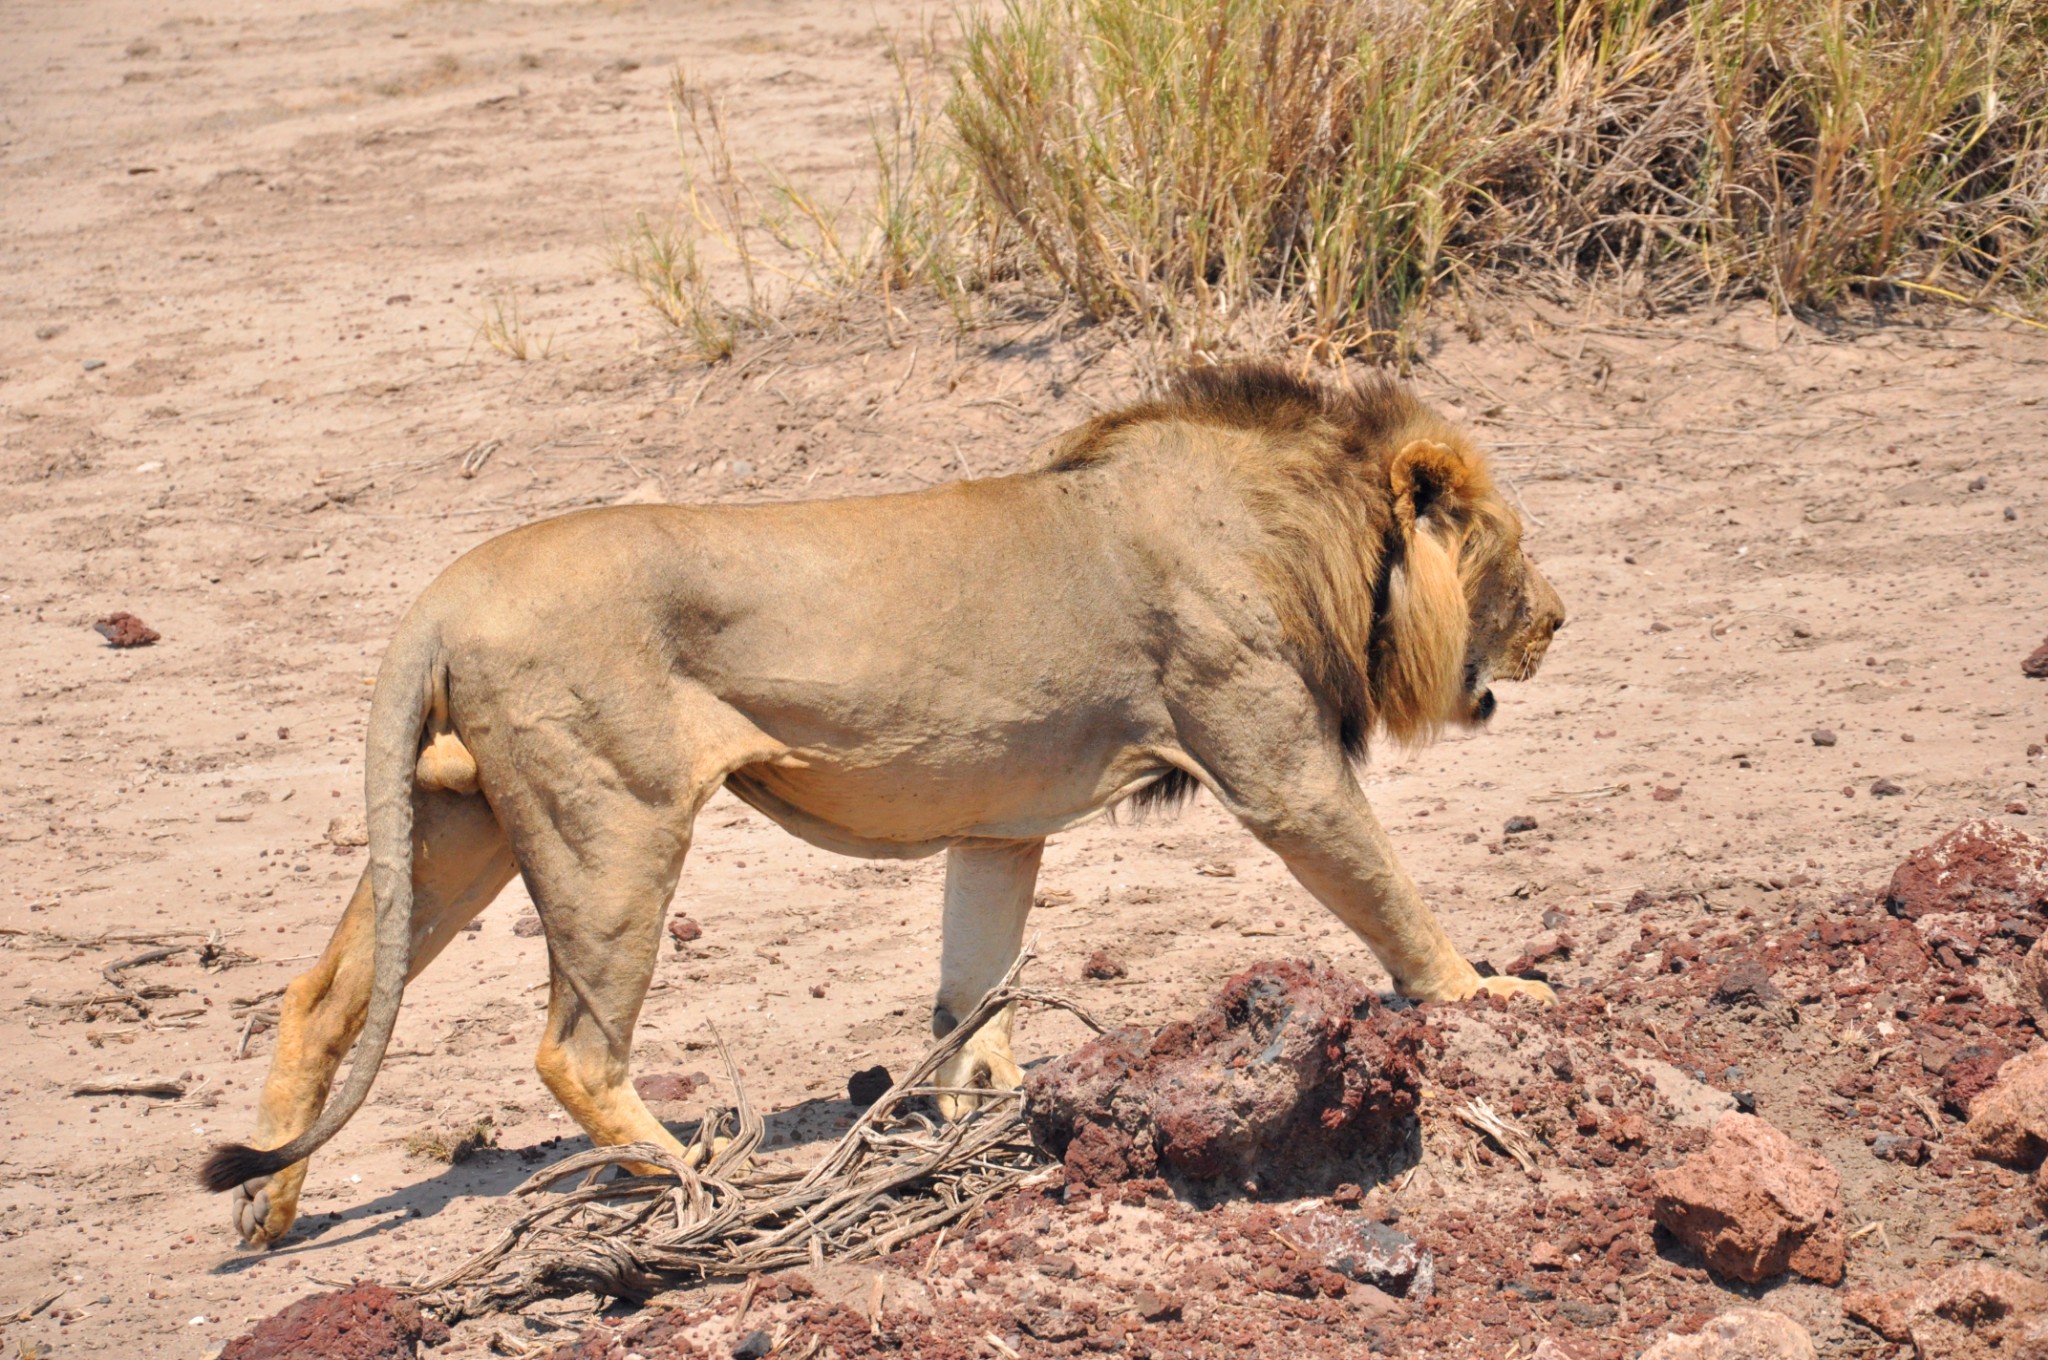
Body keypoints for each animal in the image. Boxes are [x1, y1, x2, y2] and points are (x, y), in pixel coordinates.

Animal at [199, 360, 1556, 1245]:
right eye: (1508, 542)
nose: (1556, 618)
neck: (1309, 535)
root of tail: (438, 592)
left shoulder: (1003, 825)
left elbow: (974, 988)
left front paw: (988, 1113)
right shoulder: (1273, 764)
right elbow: (1386, 892)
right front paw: (1484, 990)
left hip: (464, 824)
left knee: (323, 995)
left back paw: (270, 1205)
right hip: (614, 824)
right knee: (572, 1049)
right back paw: (703, 1189)